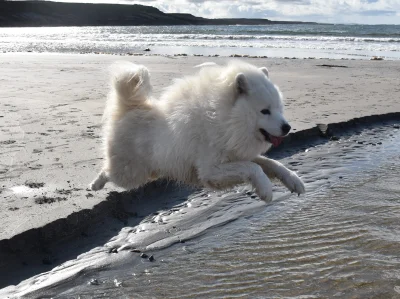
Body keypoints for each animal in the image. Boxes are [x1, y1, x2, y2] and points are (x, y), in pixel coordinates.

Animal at [90, 60, 304, 202]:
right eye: (265, 111)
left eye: (279, 108)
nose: (287, 127)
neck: (226, 120)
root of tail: (129, 108)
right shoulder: (210, 169)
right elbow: (254, 168)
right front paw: (266, 190)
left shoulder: (236, 155)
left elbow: (271, 164)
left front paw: (294, 181)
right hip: (131, 174)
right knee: (107, 171)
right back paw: (95, 184)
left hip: (146, 173)